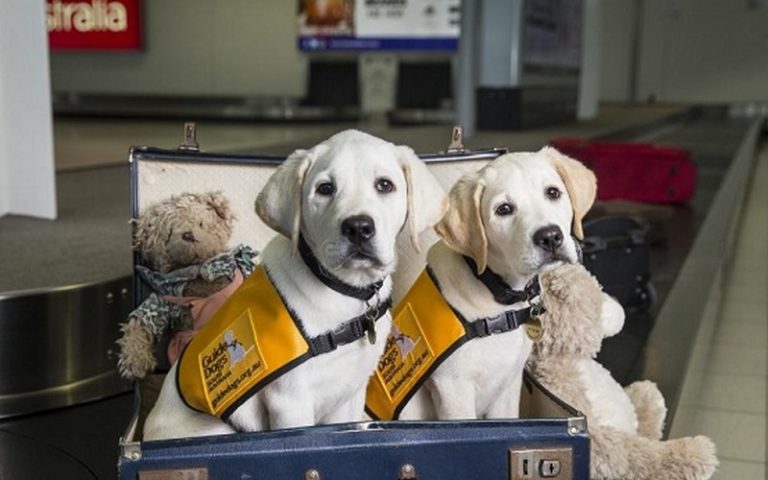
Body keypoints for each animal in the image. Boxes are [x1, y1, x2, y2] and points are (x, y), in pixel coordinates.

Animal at [144, 130, 444, 438]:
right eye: (325, 188)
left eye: (385, 185)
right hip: (215, 428)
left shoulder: (350, 395)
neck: (344, 294)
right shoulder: (289, 401)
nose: (358, 227)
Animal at [396, 147, 600, 420]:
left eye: (553, 193)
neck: (496, 292)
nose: (550, 237)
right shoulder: (453, 389)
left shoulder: (508, 386)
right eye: (504, 209)